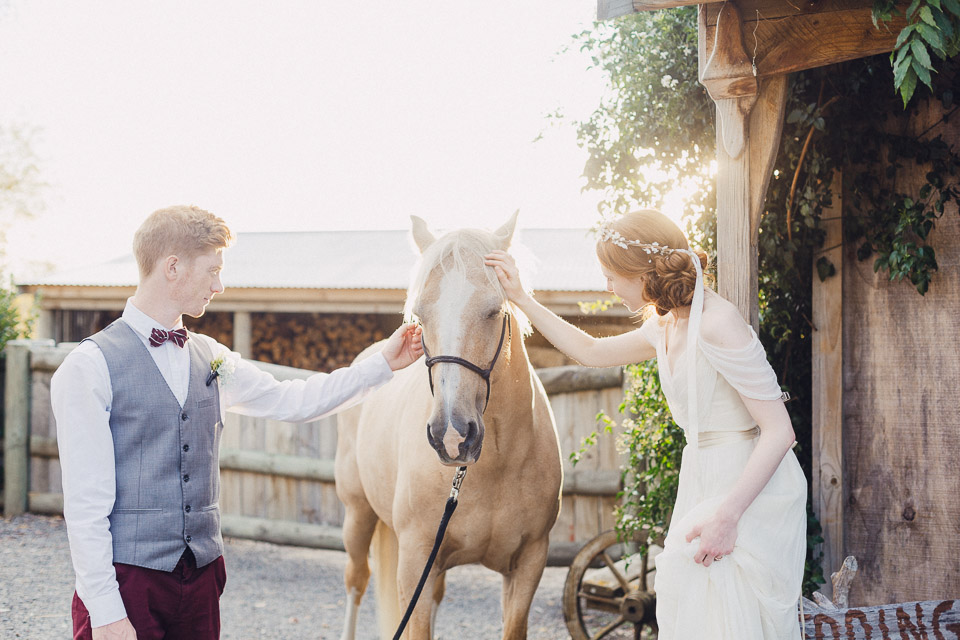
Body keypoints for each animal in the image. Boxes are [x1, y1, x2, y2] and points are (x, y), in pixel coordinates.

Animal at [336, 212, 564, 636]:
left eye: (494, 311)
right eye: (419, 315)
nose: (452, 436)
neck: (496, 466)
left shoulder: (528, 564)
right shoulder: (415, 562)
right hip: (358, 516)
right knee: (356, 581)